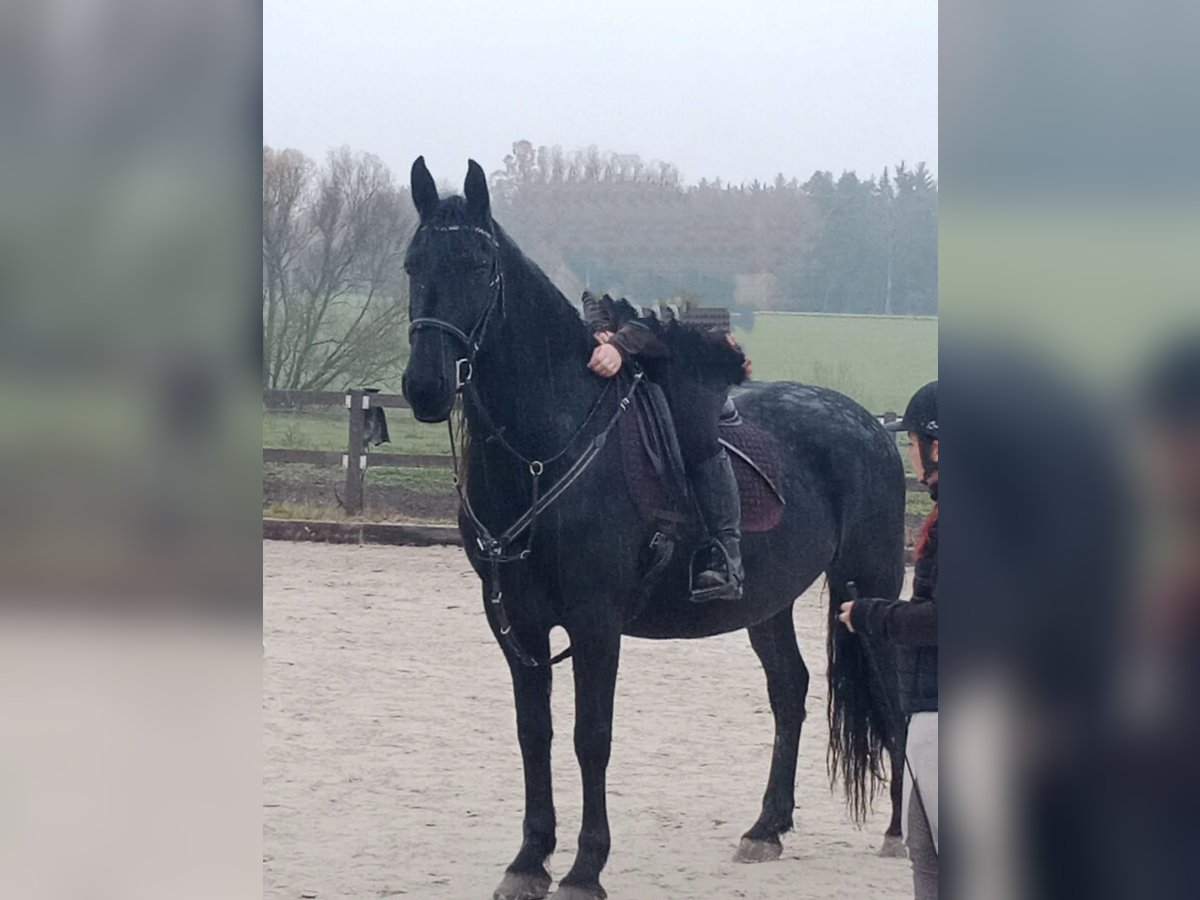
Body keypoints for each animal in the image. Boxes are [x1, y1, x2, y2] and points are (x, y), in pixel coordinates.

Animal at [401, 158, 908, 900]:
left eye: (478, 264)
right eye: (413, 264)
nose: (426, 387)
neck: (542, 453)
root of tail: (870, 423)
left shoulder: (595, 622)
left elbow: (591, 736)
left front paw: (585, 868)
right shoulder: (517, 622)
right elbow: (534, 733)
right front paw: (529, 859)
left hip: (866, 588)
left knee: (891, 695)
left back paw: (901, 832)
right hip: (769, 603)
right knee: (790, 691)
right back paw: (767, 827)